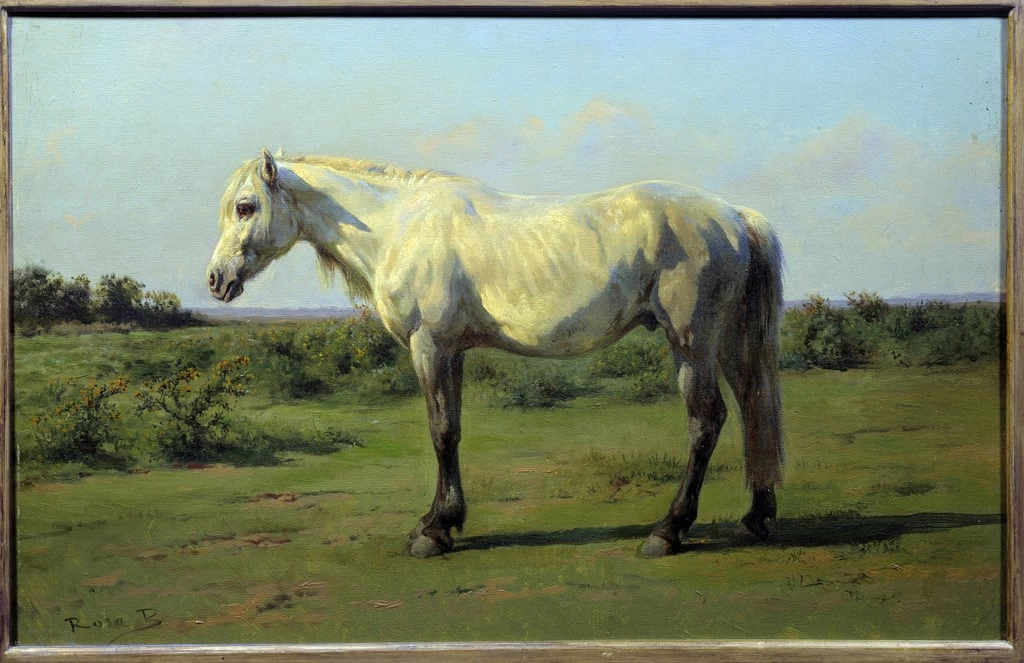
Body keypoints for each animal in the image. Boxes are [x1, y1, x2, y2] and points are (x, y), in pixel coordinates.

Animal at [207, 149, 784, 559]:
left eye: (245, 207)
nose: (216, 280)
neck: (398, 227)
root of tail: (735, 216)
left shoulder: (430, 345)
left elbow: (441, 432)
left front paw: (434, 532)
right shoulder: (452, 352)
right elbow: (453, 430)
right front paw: (441, 521)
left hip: (691, 340)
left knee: (707, 420)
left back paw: (668, 531)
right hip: (727, 342)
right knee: (753, 405)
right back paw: (755, 518)